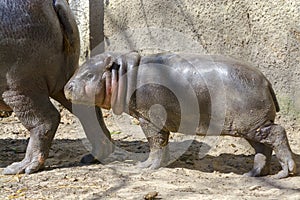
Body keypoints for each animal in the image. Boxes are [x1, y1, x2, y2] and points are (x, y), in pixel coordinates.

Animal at [0, 0, 113, 174]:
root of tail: (54, 3)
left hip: (19, 86)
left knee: (45, 119)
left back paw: (21, 167)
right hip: (66, 80)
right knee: (89, 110)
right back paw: (93, 156)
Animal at [64, 51, 296, 178]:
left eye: (89, 74)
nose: (67, 87)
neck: (125, 73)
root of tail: (266, 81)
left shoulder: (149, 119)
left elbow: (155, 143)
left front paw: (144, 167)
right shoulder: (156, 120)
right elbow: (162, 143)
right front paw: (160, 164)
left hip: (253, 124)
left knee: (278, 134)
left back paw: (286, 172)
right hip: (251, 126)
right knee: (263, 148)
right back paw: (252, 175)